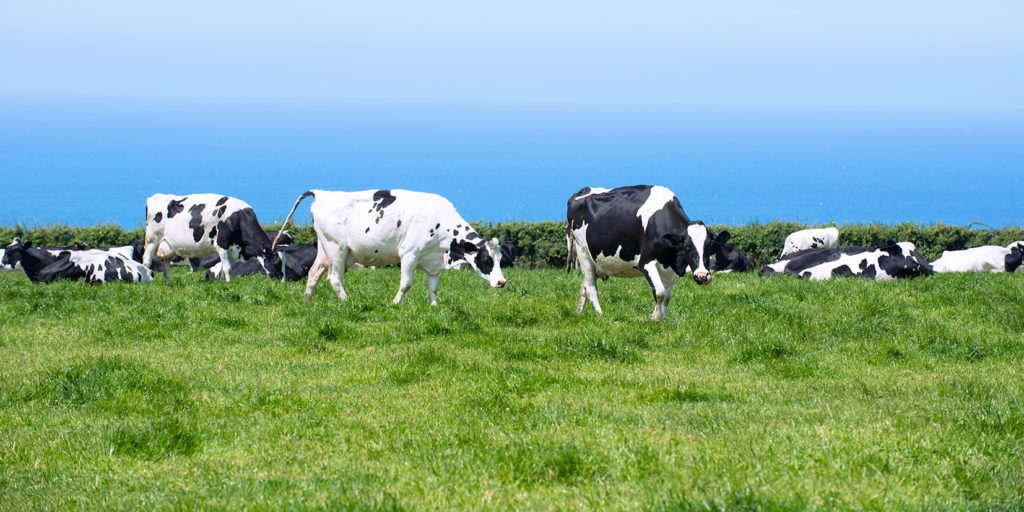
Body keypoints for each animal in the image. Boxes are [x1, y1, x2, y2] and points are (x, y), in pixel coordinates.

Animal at [142, 192, 280, 282]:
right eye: (274, 260)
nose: (278, 278)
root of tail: (156, 196)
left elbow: (223, 268)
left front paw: (222, 282)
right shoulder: (221, 244)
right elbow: (228, 268)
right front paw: (229, 284)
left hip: (168, 245)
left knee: (165, 262)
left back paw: (169, 281)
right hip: (152, 239)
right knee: (146, 260)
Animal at [276, 190, 507, 305]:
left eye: (500, 260)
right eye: (486, 260)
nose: (501, 282)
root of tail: (322, 192)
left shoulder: (433, 261)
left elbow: (433, 286)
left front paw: (434, 306)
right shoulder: (409, 254)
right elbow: (406, 284)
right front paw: (395, 303)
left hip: (325, 249)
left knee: (314, 274)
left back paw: (306, 301)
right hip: (337, 249)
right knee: (333, 278)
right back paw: (347, 302)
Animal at [569, 184, 720, 319]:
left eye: (709, 246)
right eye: (687, 247)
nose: (702, 276)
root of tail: (582, 191)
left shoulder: (669, 267)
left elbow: (667, 296)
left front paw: (663, 319)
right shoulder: (646, 262)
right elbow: (659, 292)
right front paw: (654, 318)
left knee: (584, 287)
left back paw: (579, 311)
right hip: (583, 252)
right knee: (591, 287)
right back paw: (600, 314)